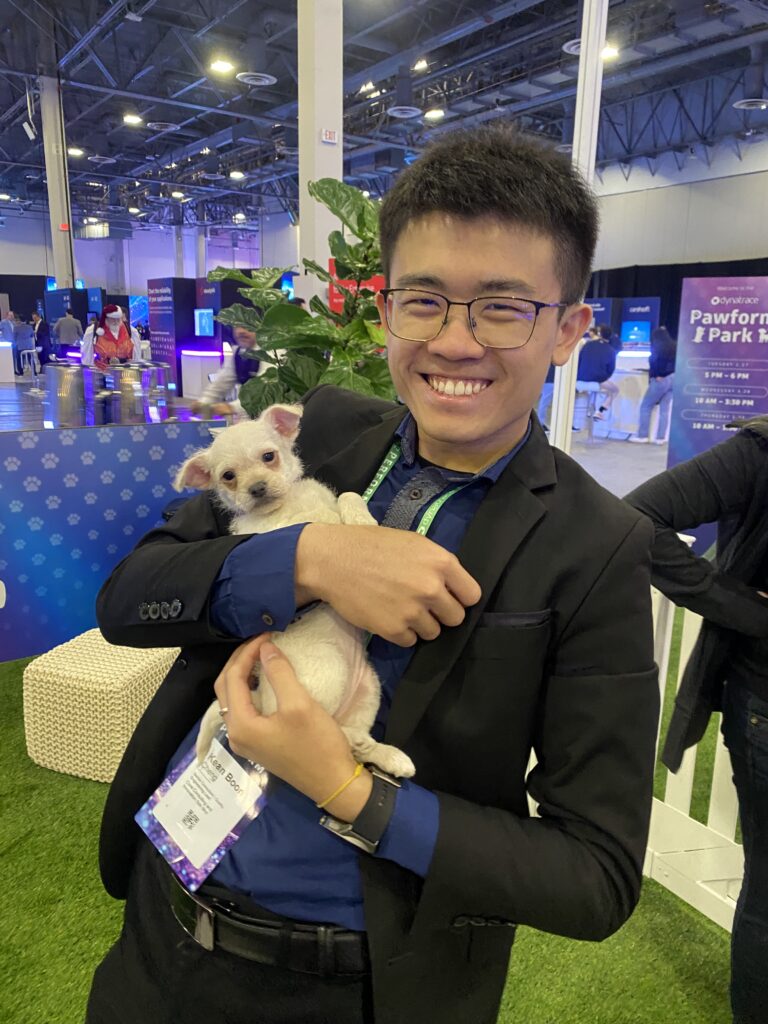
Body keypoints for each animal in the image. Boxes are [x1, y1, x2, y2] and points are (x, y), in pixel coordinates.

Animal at [173, 403, 415, 779]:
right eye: (228, 476)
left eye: (268, 456)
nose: (257, 488)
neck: (289, 506)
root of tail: (262, 698)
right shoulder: (290, 534)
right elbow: (320, 527)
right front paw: (358, 528)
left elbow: (347, 496)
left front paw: (361, 518)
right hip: (329, 672)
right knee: (331, 733)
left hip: (369, 690)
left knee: (351, 740)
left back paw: (390, 756)